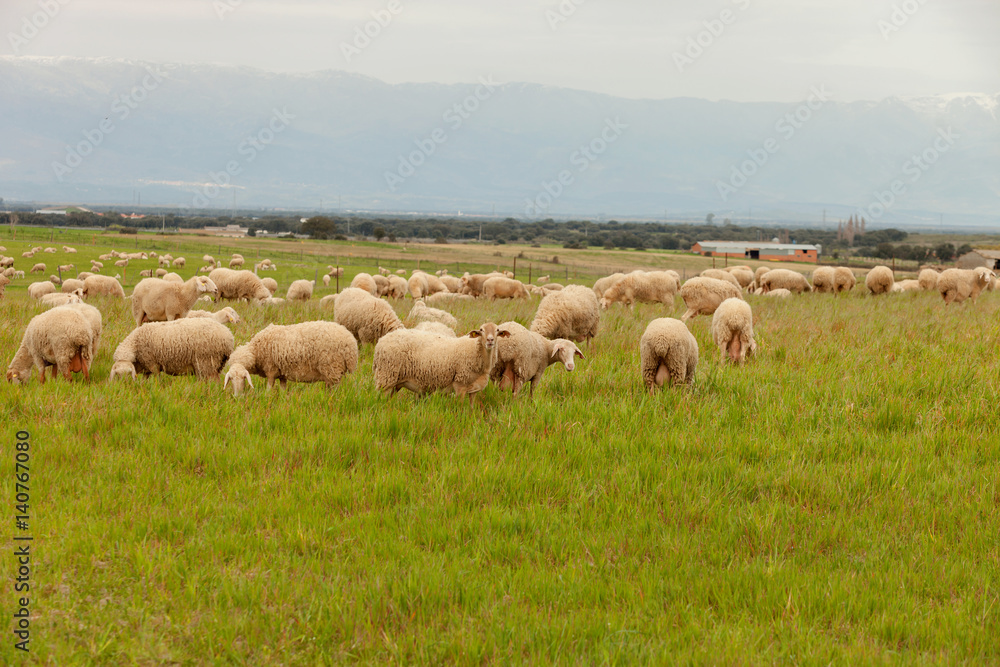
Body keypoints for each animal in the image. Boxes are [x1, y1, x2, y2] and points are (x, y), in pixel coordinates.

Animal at [223, 321, 359, 395]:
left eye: (243, 378)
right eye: (231, 379)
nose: (237, 397)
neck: (256, 351)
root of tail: (351, 343)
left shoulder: (271, 370)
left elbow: (268, 390)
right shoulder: (282, 374)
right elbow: (283, 390)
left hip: (332, 368)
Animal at [373, 322, 509, 402]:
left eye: (497, 330)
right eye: (481, 330)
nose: (490, 340)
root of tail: (381, 341)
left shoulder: (474, 389)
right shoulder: (460, 384)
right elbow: (459, 408)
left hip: (396, 381)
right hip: (386, 376)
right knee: (381, 398)